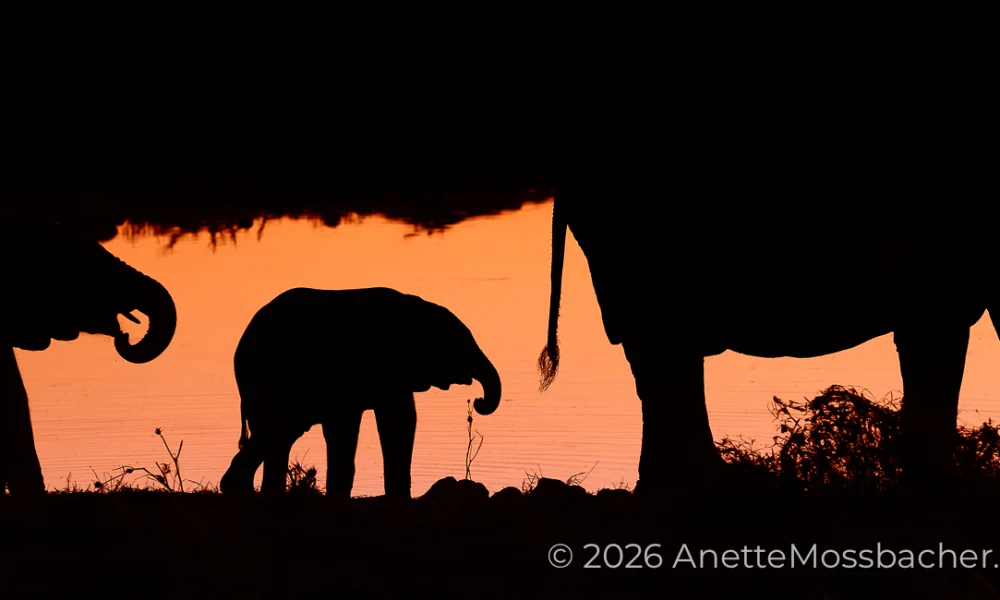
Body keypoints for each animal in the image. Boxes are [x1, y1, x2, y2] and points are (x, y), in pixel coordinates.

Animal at [218, 286, 502, 498]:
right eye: (460, 344)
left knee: (278, 435)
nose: (479, 401)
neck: (414, 308)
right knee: (277, 431)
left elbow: (397, 419)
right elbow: (387, 421)